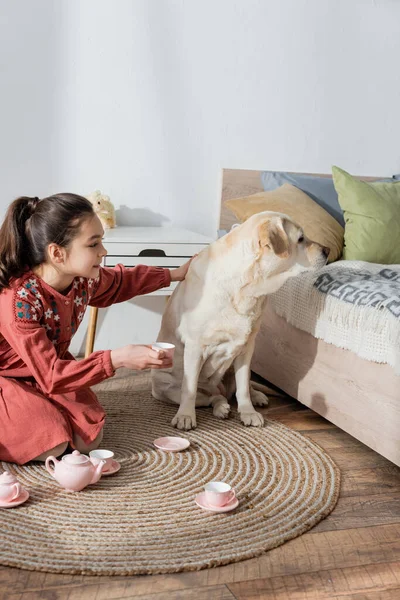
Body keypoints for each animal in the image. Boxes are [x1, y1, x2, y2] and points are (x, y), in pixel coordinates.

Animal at [151, 210, 328, 426]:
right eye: (301, 239)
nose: (327, 250)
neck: (248, 288)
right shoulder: (194, 347)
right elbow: (189, 389)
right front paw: (185, 416)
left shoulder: (246, 348)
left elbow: (243, 387)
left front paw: (248, 412)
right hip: (164, 387)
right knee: (211, 397)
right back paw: (221, 407)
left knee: (239, 389)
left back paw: (255, 397)